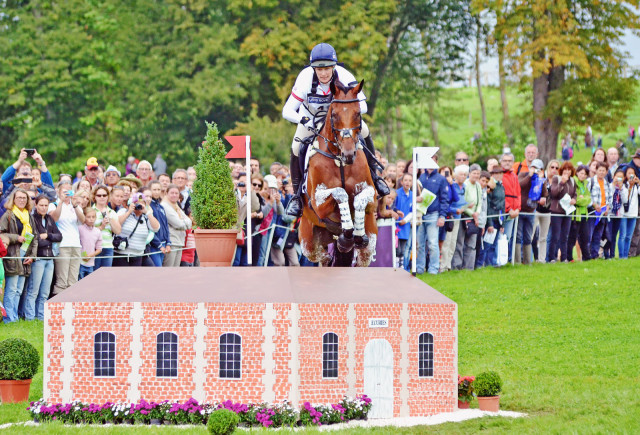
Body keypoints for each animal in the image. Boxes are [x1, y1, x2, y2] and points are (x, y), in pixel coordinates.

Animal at [298, 80, 378, 268]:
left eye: (358, 114)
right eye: (334, 115)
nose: (349, 154)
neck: (339, 160)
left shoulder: (373, 196)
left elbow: (359, 199)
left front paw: (356, 232)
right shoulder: (318, 204)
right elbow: (340, 192)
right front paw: (348, 229)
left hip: (369, 245)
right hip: (308, 242)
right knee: (323, 258)